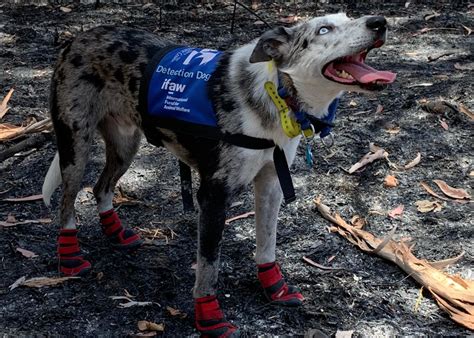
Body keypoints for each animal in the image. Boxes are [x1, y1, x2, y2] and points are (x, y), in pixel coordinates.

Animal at [41, 12, 396, 336]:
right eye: (324, 29)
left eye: (349, 17)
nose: (379, 22)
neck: (277, 93)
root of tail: (78, 38)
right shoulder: (213, 197)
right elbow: (208, 268)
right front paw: (210, 318)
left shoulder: (271, 184)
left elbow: (267, 244)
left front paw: (274, 289)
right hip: (75, 148)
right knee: (67, 202)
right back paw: (70, 258)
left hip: (126, 145)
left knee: (100, 188)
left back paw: (115, 233)